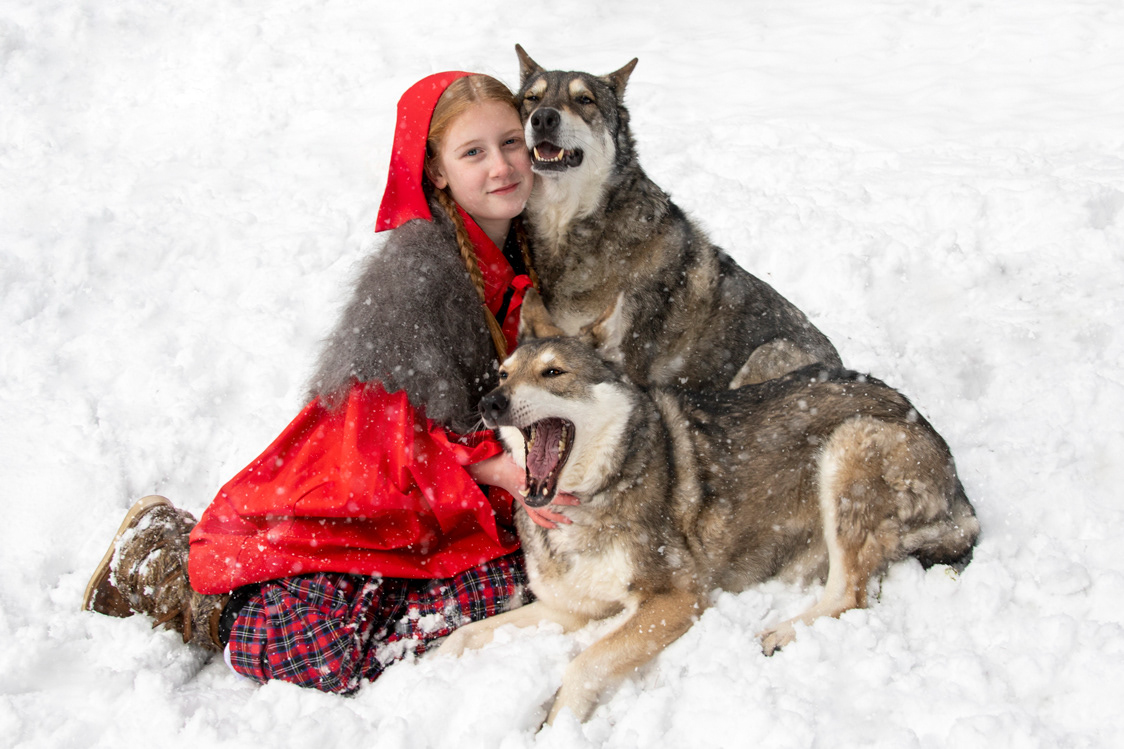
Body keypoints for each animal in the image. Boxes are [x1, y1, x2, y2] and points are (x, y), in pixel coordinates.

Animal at [437, 291, 980, 724]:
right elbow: (458, 639)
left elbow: (584, 663)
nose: (490, 402)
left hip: (848, 447)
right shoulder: (567, 607)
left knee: (852, 595)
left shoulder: (678, 598)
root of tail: (957, 485)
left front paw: (556, 727)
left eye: (553, 372)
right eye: (502, 374)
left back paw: (782, 632)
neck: (596, 490)